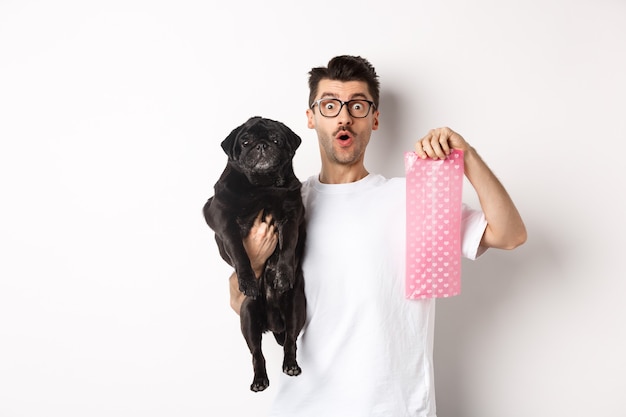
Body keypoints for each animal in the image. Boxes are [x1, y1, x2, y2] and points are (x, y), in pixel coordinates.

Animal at [202, 116, 304, 390]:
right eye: (245, 141)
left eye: (277, 139)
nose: (261, 145)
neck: (262, 186)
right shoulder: (224, 219)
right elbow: (239, 253)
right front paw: (247, 280)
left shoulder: (291, 215)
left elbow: (288, 246)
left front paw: (283, 274)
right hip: (248, 316)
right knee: (257, 353)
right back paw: (259, 379)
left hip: (296, 310)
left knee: (291, 341)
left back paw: (291, 365)